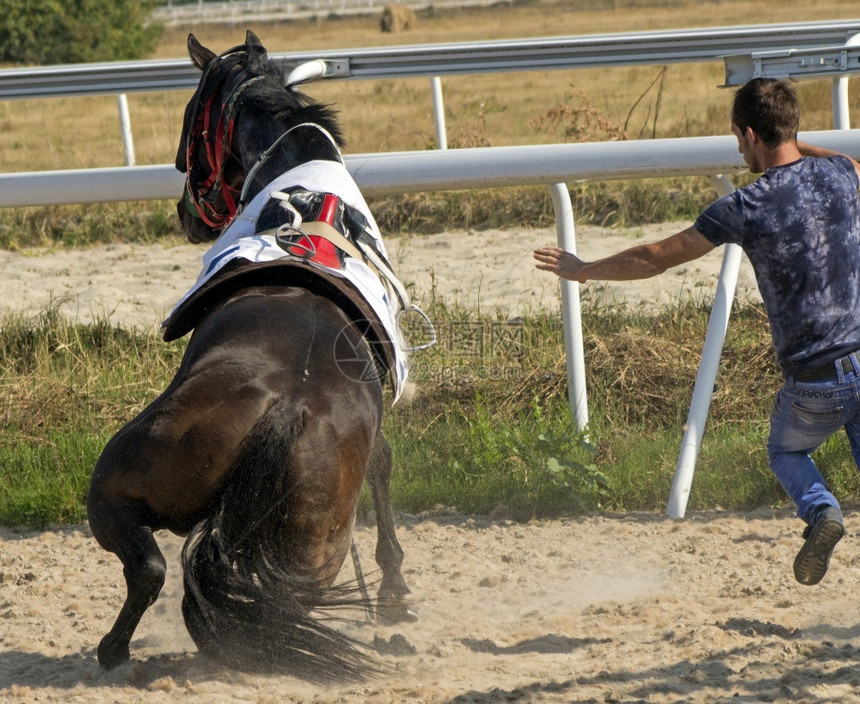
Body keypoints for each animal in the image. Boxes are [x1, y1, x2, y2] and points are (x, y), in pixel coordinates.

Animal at [88, 28, 420, 680]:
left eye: (191, 122)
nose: (184, 213)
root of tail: (284, 414)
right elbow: (384, 463)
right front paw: (394, 587)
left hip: (115, 485)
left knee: (153, 569)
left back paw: (115, 648)